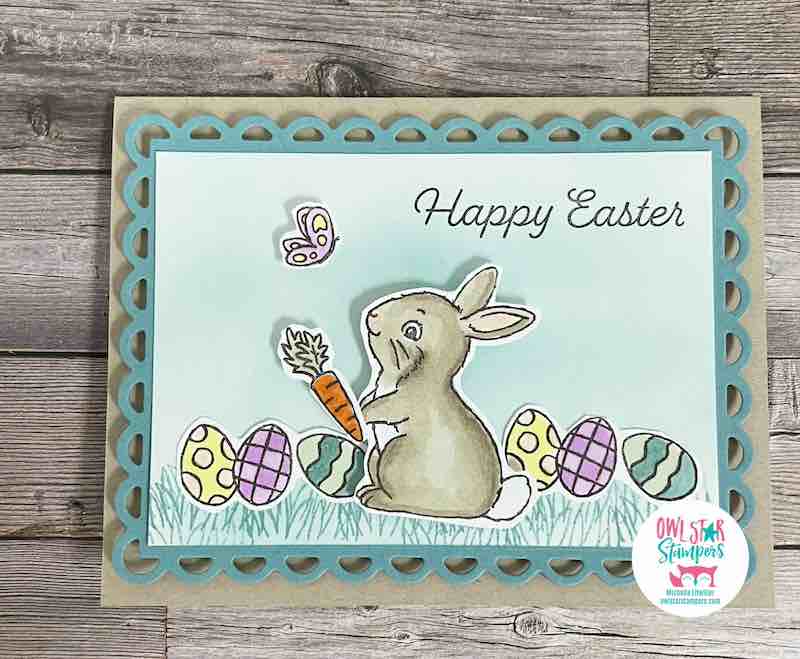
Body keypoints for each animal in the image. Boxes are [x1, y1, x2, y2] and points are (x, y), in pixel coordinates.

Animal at [357, 265, 536, 520]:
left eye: (412, 331)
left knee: (402, 501)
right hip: (375, 456)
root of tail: (489, 506)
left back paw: (373, 498)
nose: (371, 315)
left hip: (394, 457)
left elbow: (381, 407)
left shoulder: (404, 403)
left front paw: (360, 413)